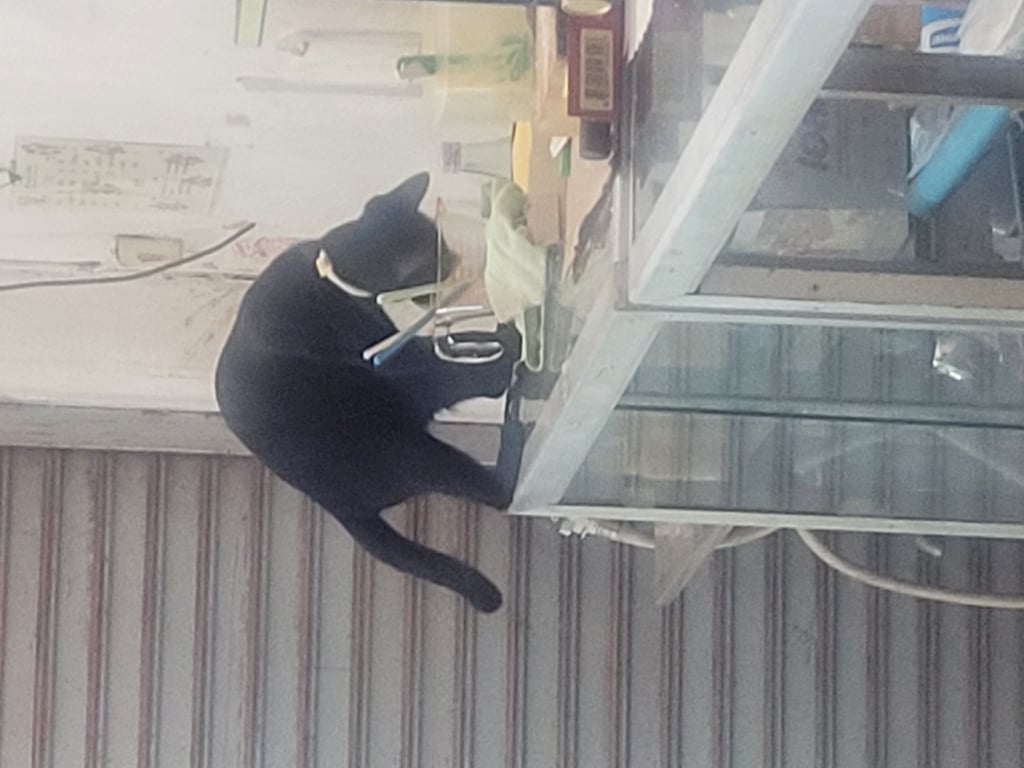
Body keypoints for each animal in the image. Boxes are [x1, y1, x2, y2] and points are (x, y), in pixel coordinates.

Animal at [215, 172, 523, 612]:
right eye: (437, 260)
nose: (453, 266)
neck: (332, 275)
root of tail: (337, 506)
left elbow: (460, 344)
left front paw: (496, 336)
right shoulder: (388, 356)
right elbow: (450, 362)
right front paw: (507, 347)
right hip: (413, 449)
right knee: (497, 490)